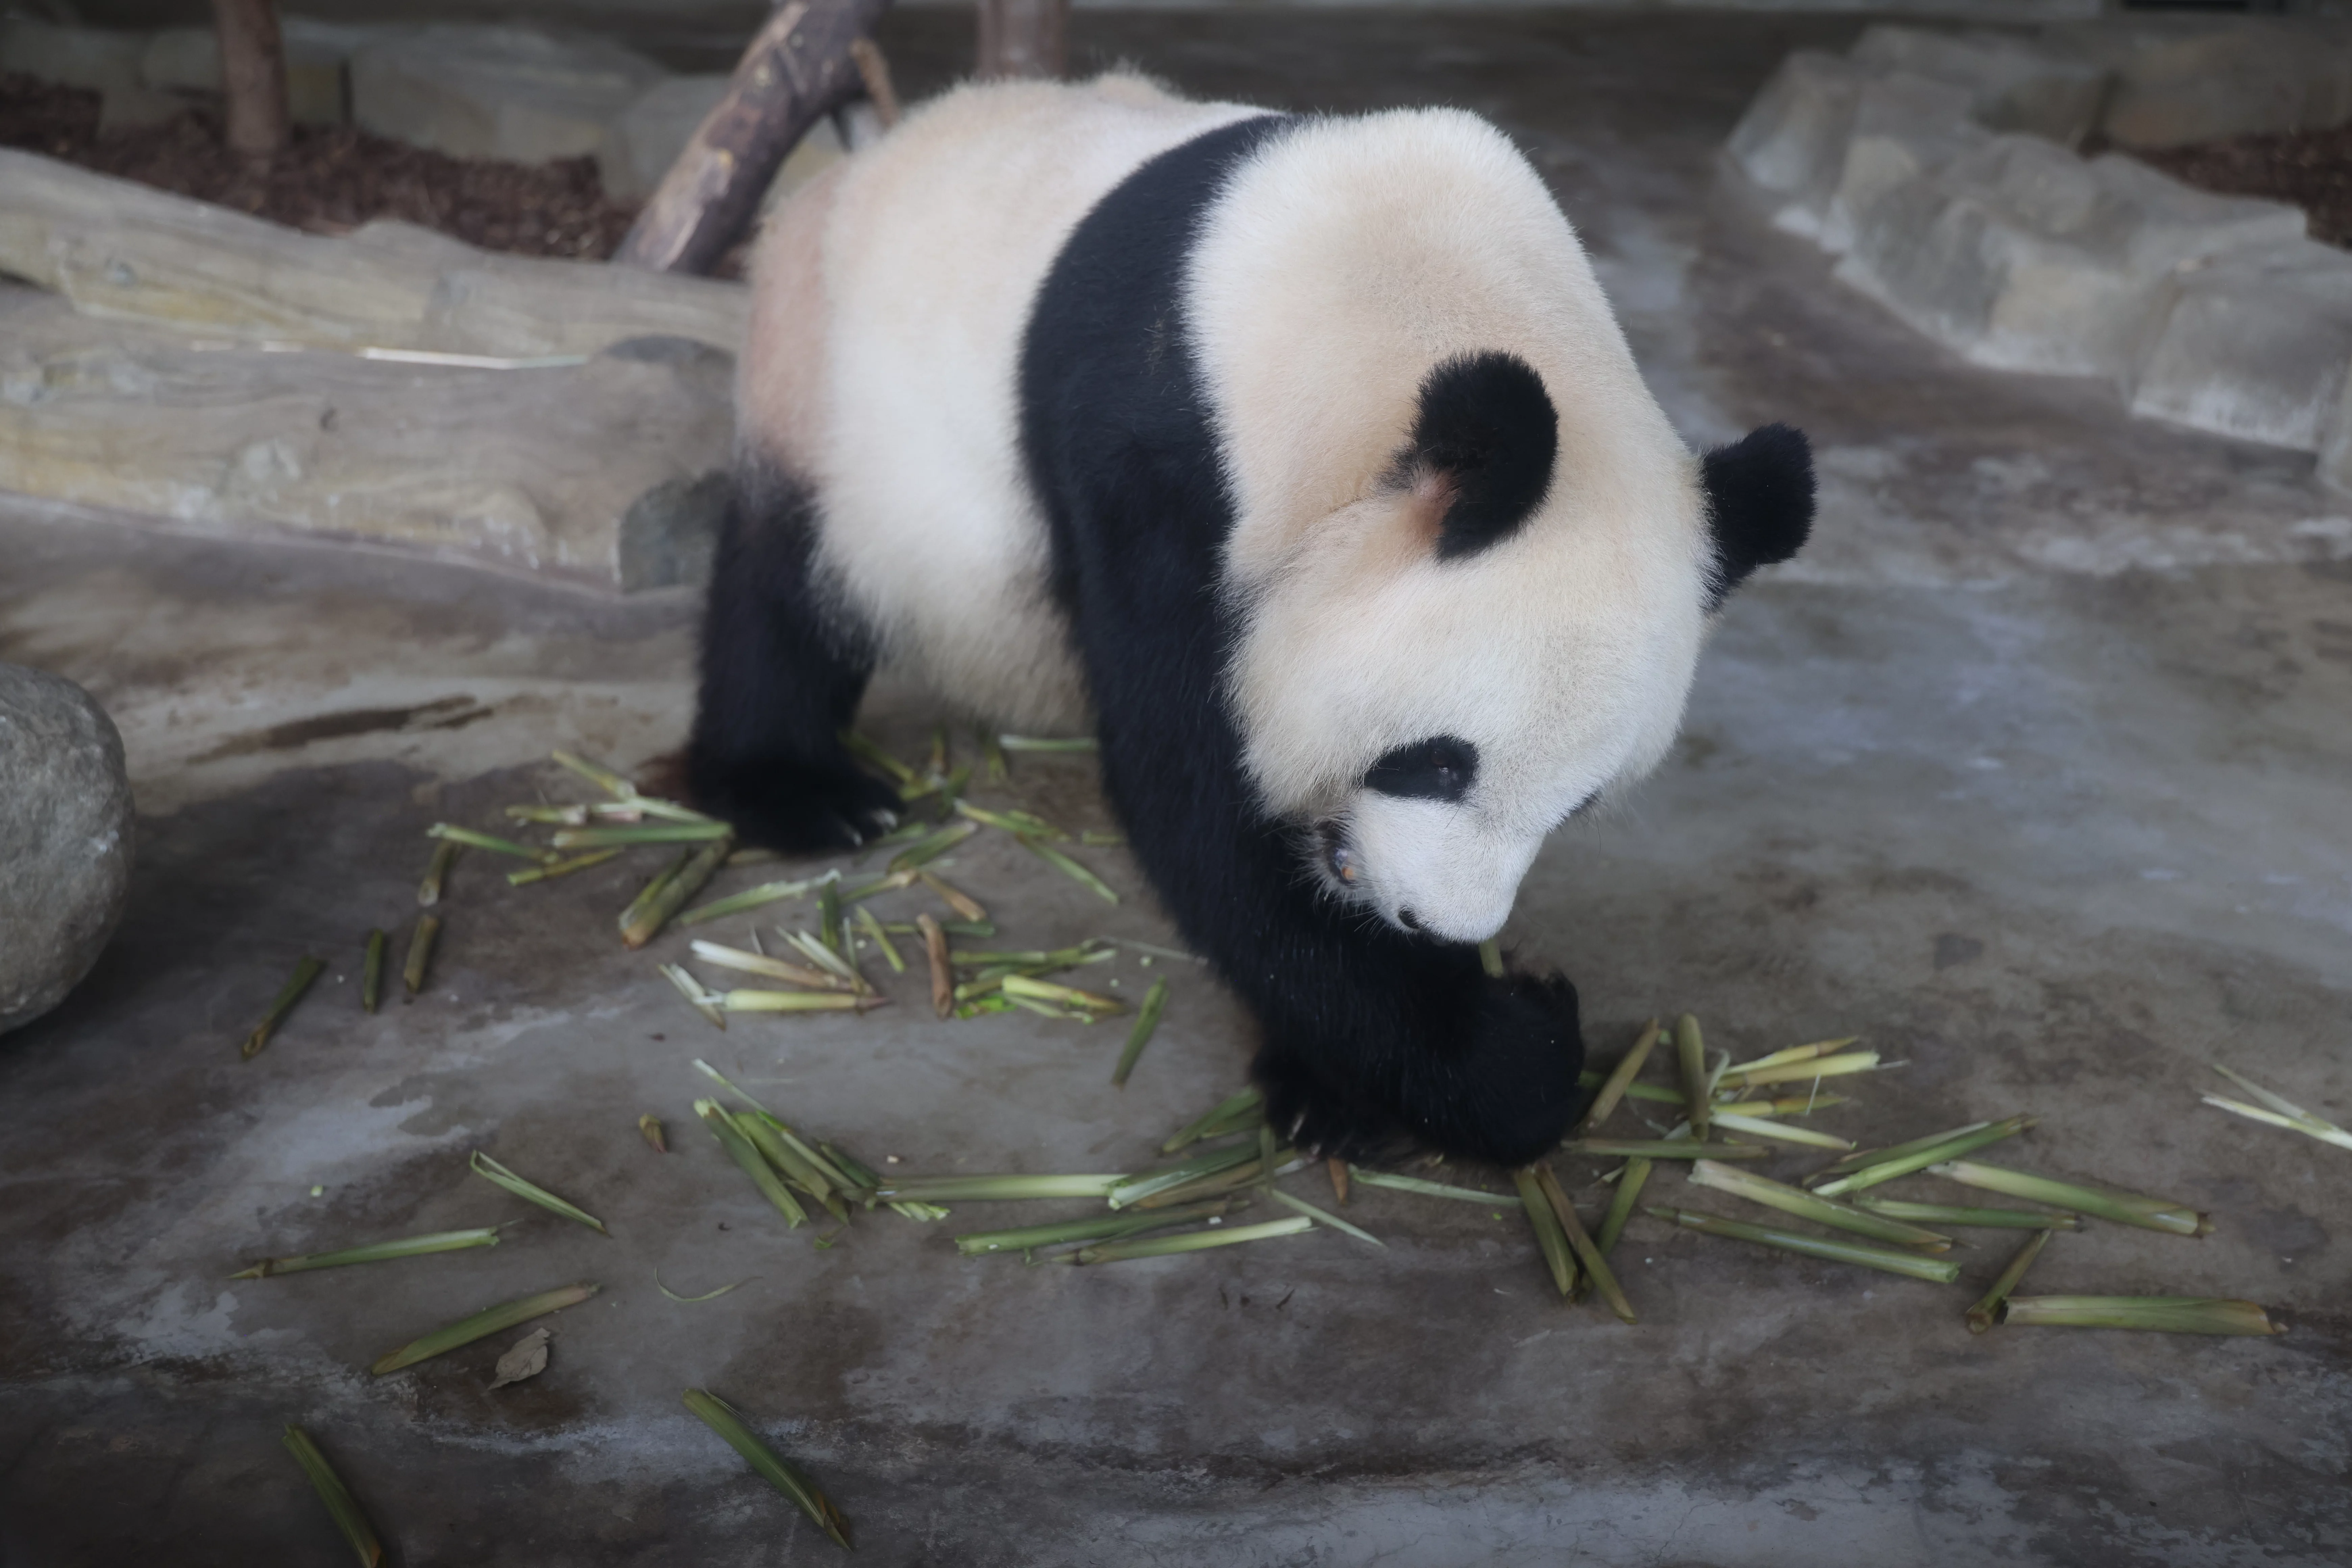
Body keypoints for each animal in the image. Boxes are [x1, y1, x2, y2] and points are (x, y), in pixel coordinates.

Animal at [686, 74, 1814, 1166]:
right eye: (1435, 762)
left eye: (1581, 805)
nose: (1433, 923)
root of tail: (873, 150)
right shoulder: (1161, 470)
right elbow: (1196, 798)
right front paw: (1514, 1053)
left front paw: (1344, 1080)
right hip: (827, 380)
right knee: (783, 584)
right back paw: (800, 791)